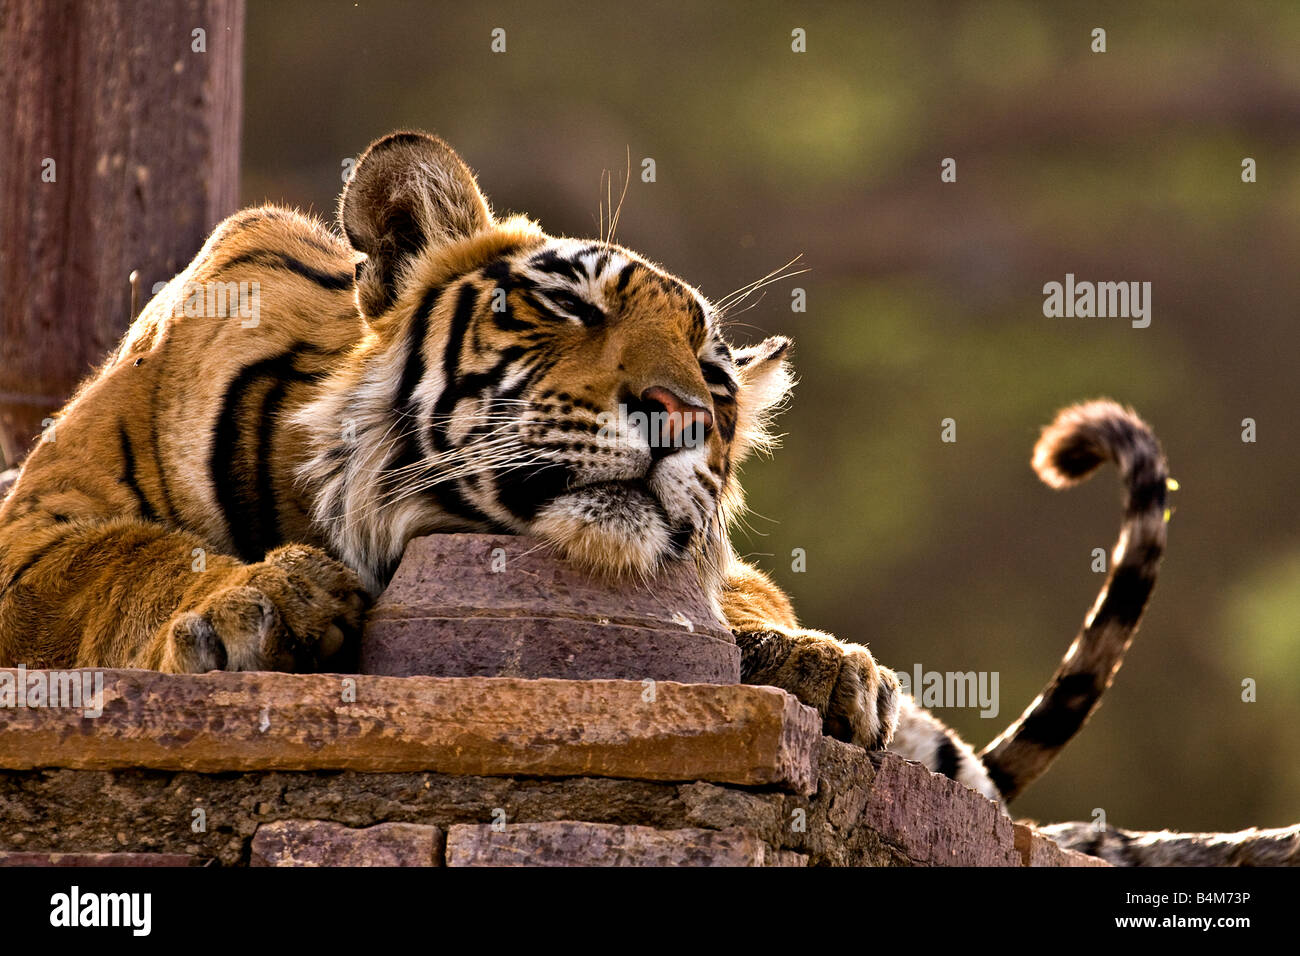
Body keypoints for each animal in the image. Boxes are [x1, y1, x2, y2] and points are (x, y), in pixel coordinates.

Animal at [0, 130, 1232, 863]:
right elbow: (132, 559)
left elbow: (742, 600)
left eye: (719, 378)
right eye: (567, 306)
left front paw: (827, 668)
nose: (681, 410)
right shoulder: (33, 527)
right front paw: (255, 604)